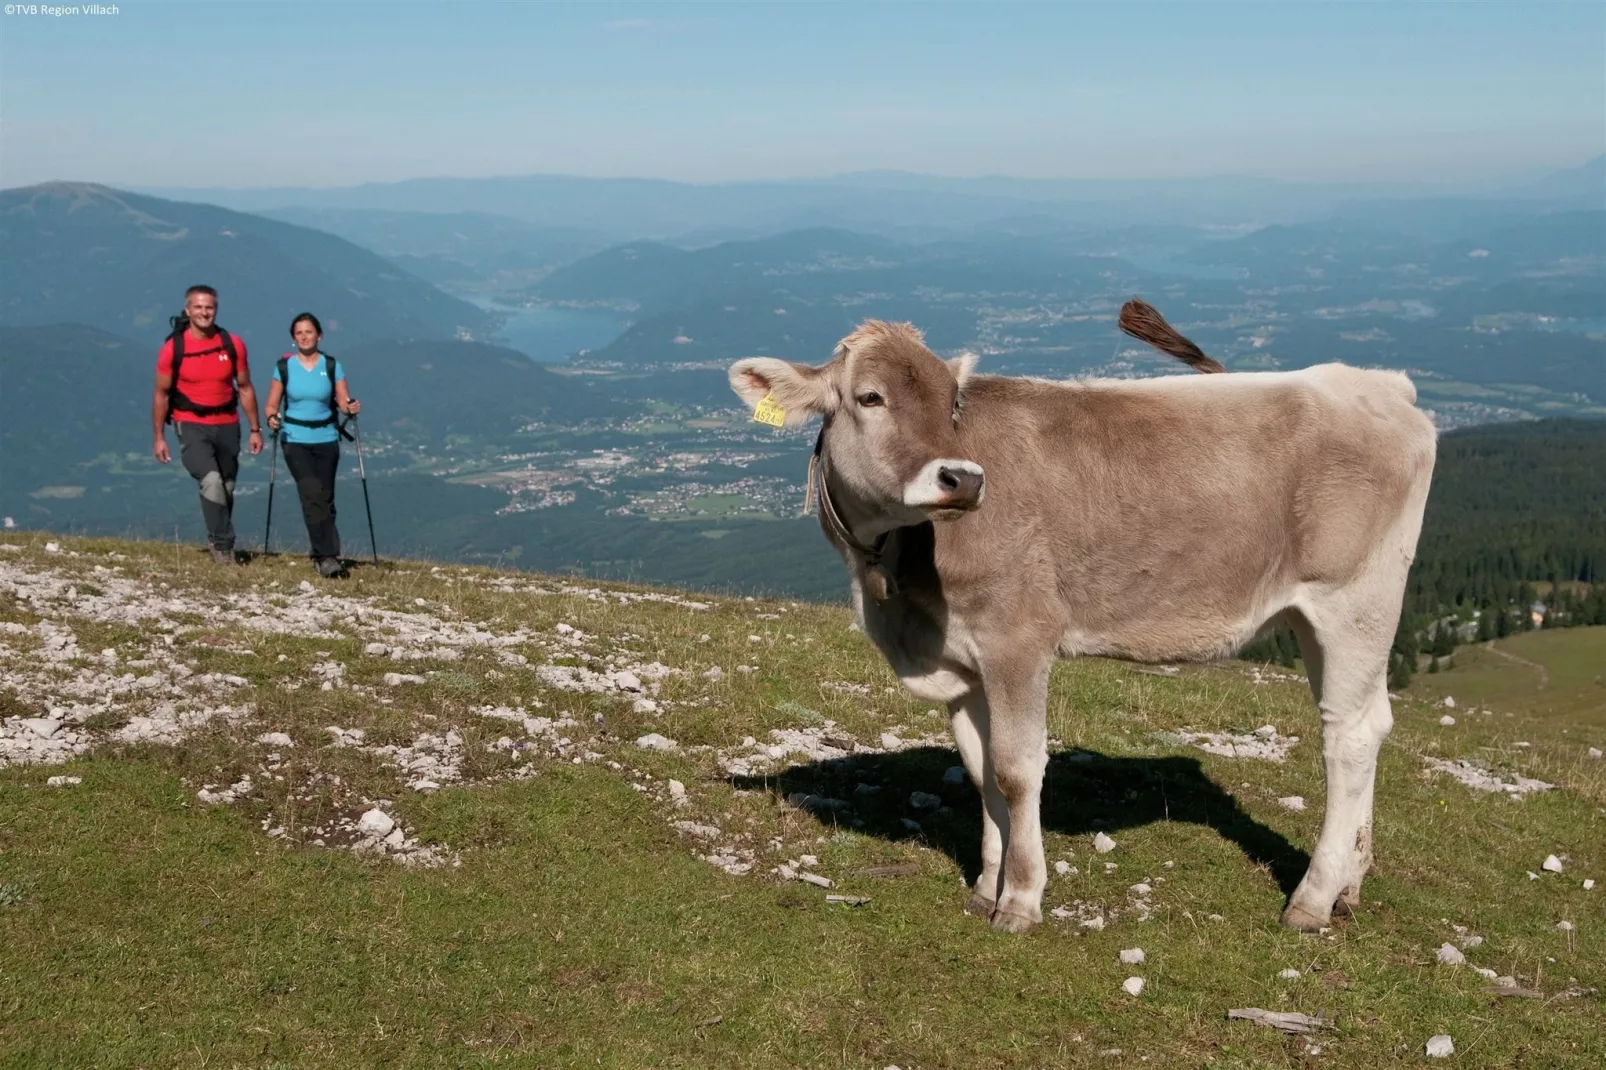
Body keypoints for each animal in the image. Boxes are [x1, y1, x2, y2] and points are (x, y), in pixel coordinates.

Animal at [729, 295, 1432, 931]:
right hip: (1318, 617)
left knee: (1347, 735)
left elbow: (1016, 771)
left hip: (1353, 600)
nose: (962, 479)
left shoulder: (1018, 637)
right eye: (870, 397)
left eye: (952, 404)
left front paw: (1019, 900)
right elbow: (982, 772)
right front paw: (985, 886)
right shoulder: (965, 664)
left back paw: (1312, 899)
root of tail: (1377, 384)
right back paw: (1349, 886)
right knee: (1371, 720)